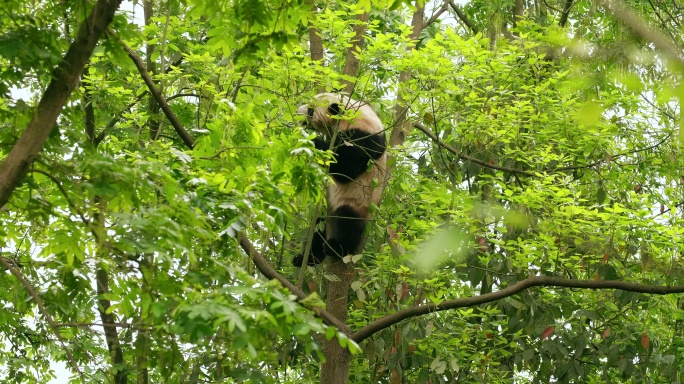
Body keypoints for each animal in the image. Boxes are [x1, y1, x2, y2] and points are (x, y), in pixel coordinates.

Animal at [292, 94, 388, 266]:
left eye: (311, 110)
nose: (297, 113)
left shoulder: (365, 137)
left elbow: (346, 168)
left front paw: (314, 142)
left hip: (358, 201)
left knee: (348, 222)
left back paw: (336, 247)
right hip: (326, 212)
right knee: (318, 228)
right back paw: (307, 258)